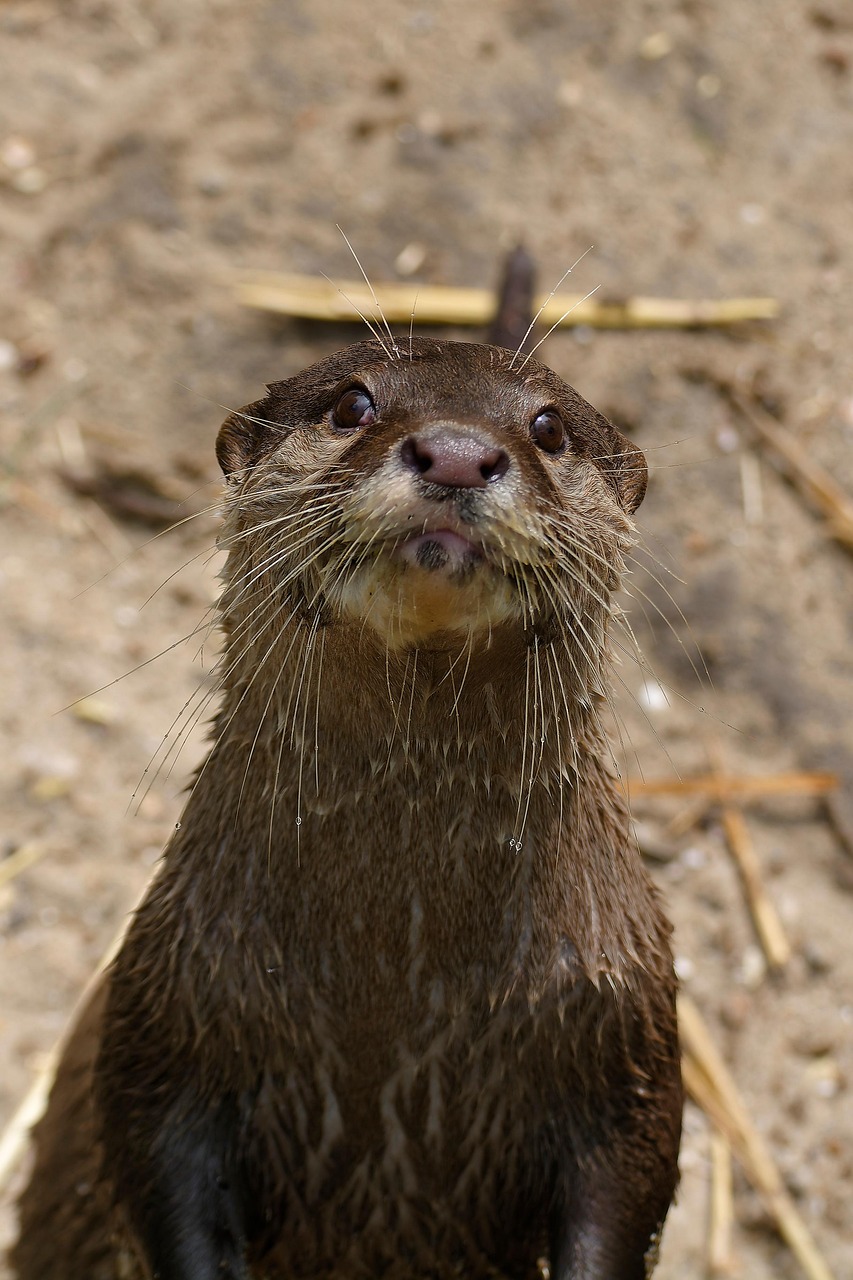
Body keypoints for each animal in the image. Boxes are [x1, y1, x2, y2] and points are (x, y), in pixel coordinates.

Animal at [13, 334, 682, 1280]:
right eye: (352, 405)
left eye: (548, 427)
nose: (456, 451)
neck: (399, 983)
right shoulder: (168, 1014)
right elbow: (153, 1159)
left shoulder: (624, 1034)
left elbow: (629, 1185)